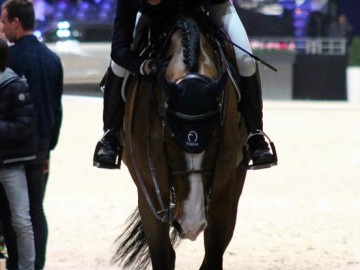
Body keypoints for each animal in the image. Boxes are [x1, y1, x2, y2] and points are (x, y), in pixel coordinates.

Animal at [114, 9, 249, 268]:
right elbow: (163, 256)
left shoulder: (223, 191)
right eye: (168, 139)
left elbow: (213, 256)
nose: (191, 224)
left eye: (215, 137)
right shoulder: (149, 189)